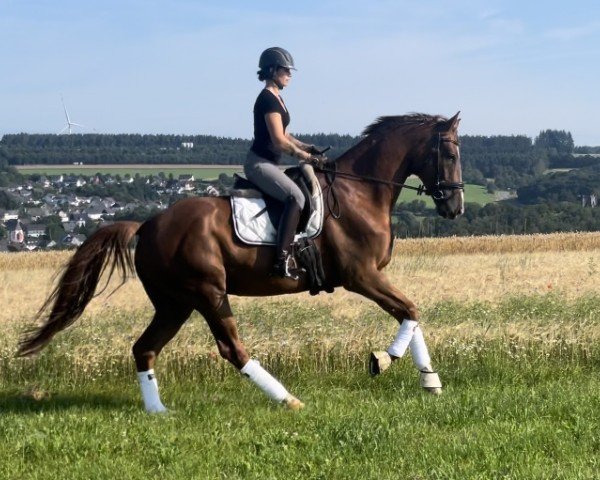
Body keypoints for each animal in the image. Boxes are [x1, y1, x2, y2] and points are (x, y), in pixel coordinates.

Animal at [15, 112, 464, 412]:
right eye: (448, 151)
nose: (455, 207)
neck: (360, 193)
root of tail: (148, 225)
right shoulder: (362, 276)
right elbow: (410, 310)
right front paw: (382, 361)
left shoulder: (372, 277)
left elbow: (411, 313)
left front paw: (430, 380)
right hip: (208, 292)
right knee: (231, 347)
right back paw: (288, 400)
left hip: (175, 303)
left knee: (145, 348)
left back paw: (157, 410)